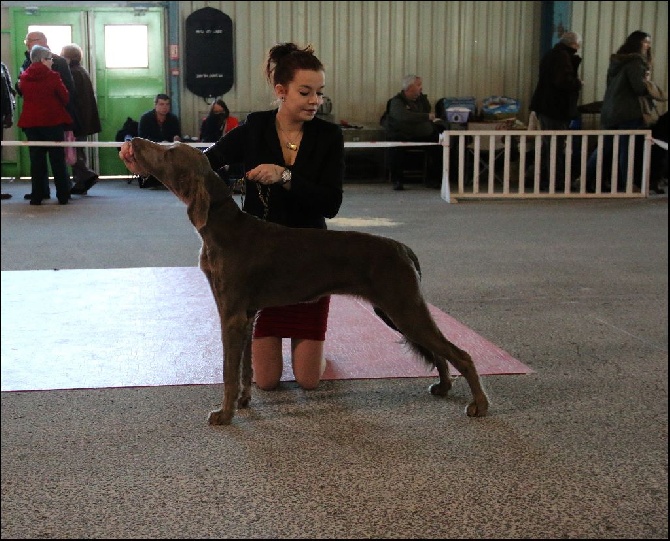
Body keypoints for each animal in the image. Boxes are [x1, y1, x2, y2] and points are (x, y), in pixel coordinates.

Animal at [130, 137, 488, 424]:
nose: (133, 141)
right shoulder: (246, 315)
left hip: (402, 306)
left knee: (462, 354)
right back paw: (443, 387)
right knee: (440, 352)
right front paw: (244, 401)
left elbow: (228, 370)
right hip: (396, 310)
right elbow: (246, 368)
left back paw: (479, 405)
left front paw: (224, 414)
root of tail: (401, 247)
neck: (221, 229)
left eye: (169, 151)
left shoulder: (230, 314)